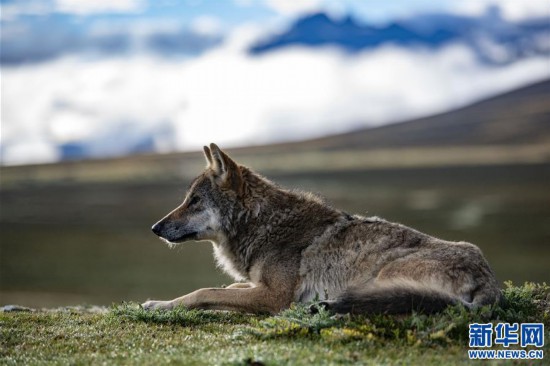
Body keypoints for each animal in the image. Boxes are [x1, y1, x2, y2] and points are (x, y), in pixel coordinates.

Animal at [143, 143, 504, 314]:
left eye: (194, 201)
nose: (155, 228)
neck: (263, 223)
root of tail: (489, 280)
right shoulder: (259, 286)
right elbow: (226, 288)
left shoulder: (274, 296)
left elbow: (204, 292)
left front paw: (160, 305)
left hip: (386, 277)